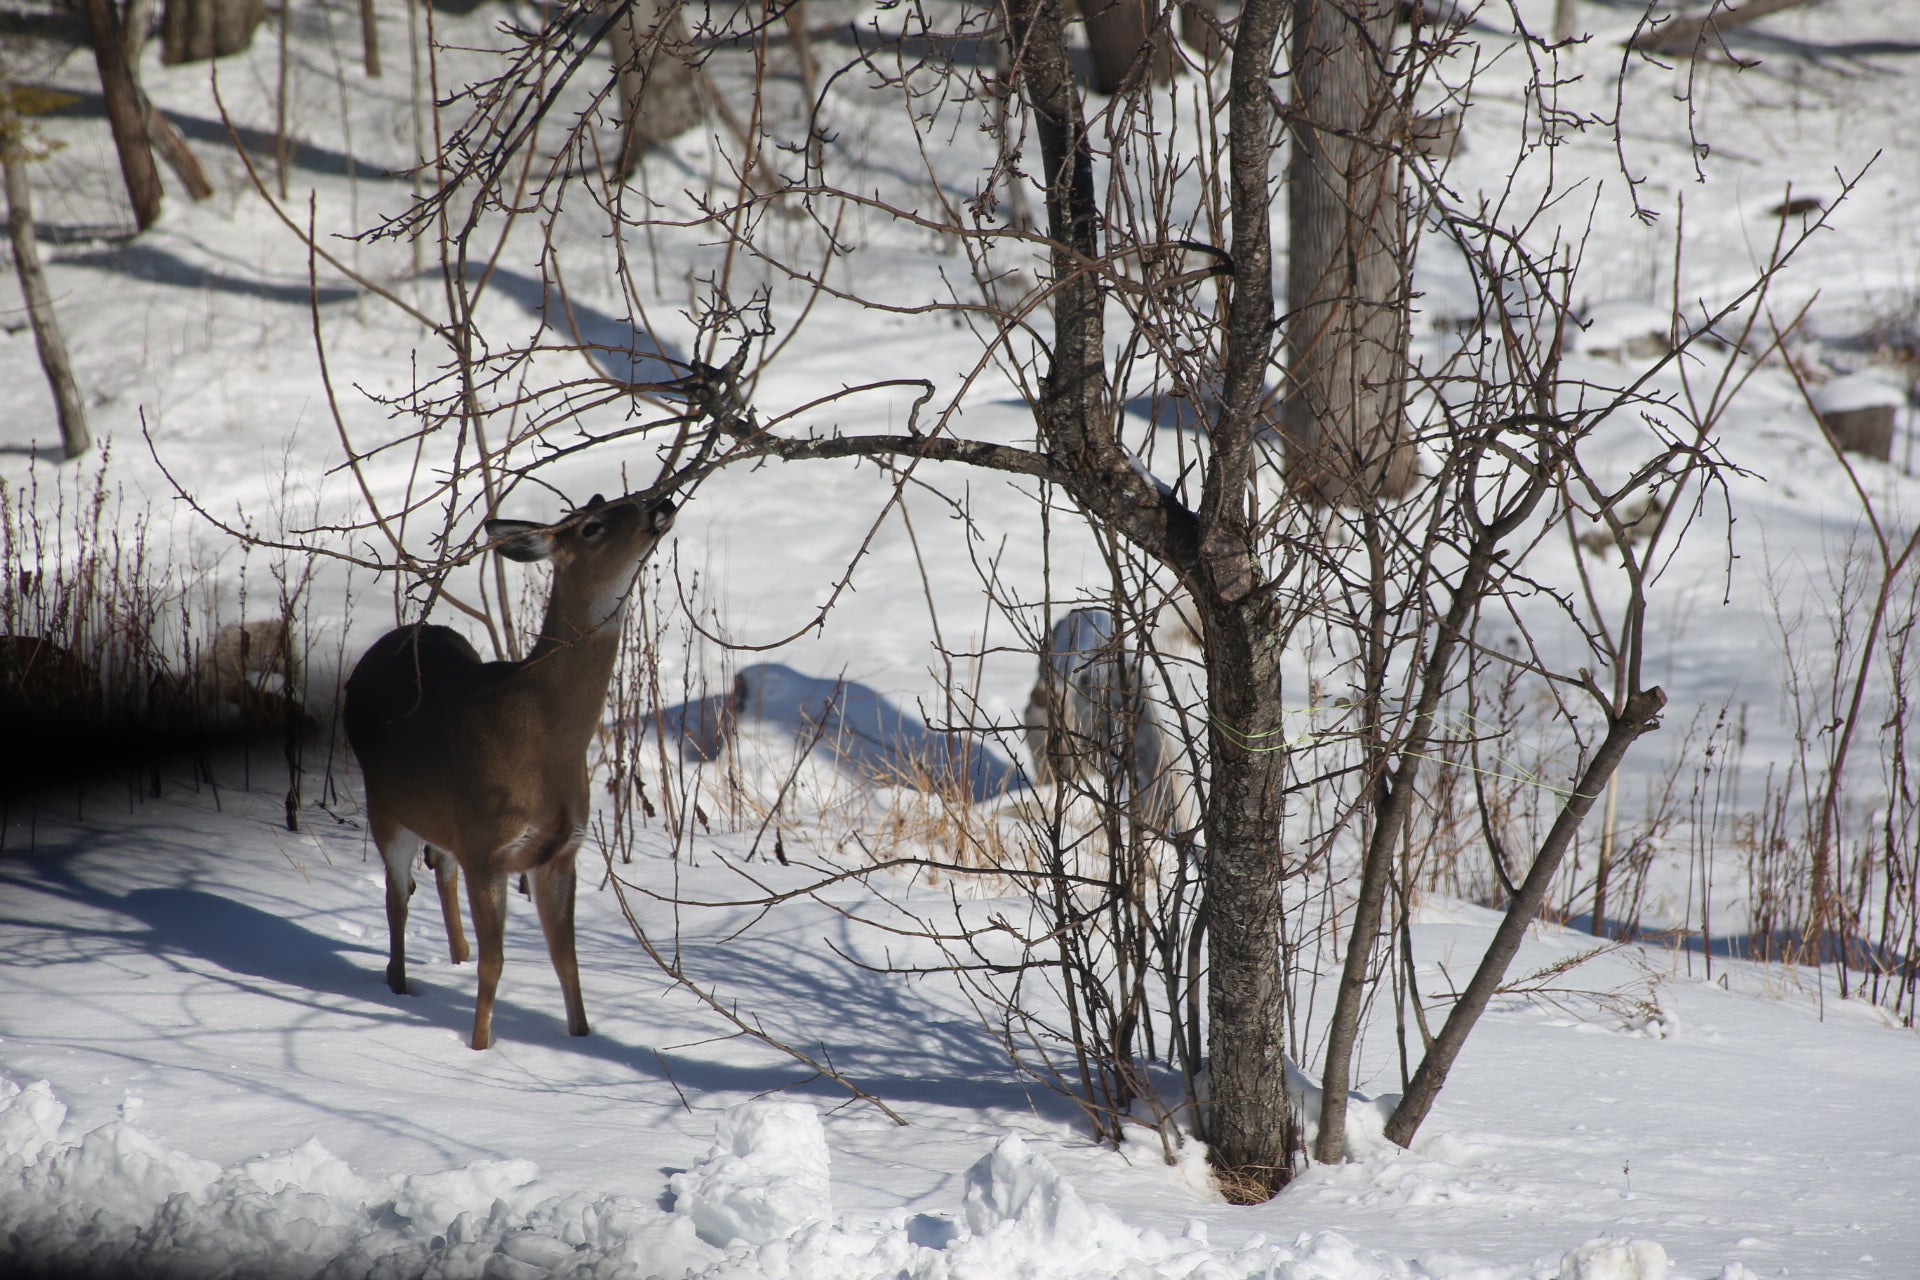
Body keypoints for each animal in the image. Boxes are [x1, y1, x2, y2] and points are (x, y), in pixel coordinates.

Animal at [343, 491, 675, 1050]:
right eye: (592, 526)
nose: (663, 503)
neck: (546, 740)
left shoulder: (560, 852)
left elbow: (566, 961)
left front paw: (581, 1038)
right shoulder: (489, 847)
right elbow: (496, 963)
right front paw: (480, 1048)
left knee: (440, 871)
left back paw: (453, 957)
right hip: (385, 804)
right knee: (397, 895)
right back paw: (400, 983)